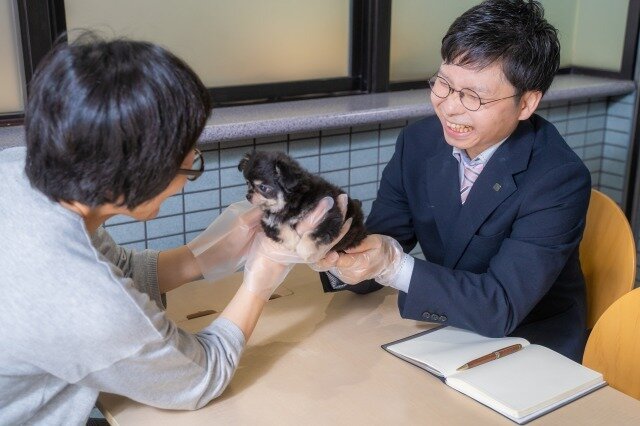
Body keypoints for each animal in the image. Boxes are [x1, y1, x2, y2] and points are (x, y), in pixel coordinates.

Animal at [238, 151, 368, 262]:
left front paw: (302, 250)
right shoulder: (268, 222)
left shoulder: (330, 217)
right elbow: (281, 228)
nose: (248, 196)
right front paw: (294, 242)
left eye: (263, 187)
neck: (289, 205)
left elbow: (312, 235)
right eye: (247, 183)